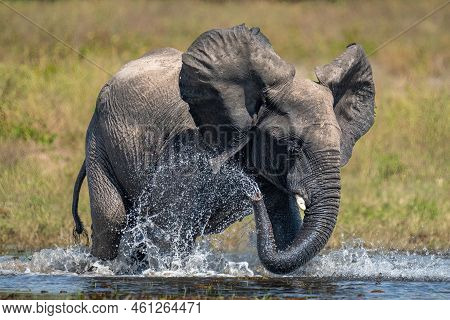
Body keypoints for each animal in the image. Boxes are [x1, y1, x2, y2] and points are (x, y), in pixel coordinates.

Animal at [73, 25, 376, 276]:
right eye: (289, 145)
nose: (252, 193)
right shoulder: (189, 146)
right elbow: (168, 227)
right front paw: (169, 272)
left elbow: (286, 225)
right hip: (100, 137)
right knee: (113, 219)